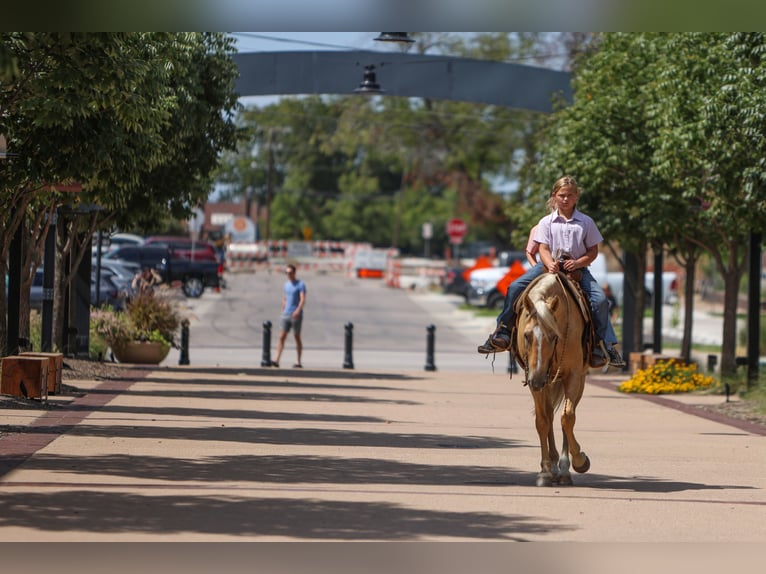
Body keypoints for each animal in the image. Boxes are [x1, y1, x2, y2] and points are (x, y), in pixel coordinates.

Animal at [516, 272, 592, 488]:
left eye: (553, 336)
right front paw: (545, 471)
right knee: (549, 415)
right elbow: (542, 421)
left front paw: (578, 461)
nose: (537, 379)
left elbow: (567, 418)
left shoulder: (573, 376)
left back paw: (564, 469)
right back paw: (555, 466)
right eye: (526, 335)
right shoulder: (534, 380)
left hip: (573, 381)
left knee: (566, 416)